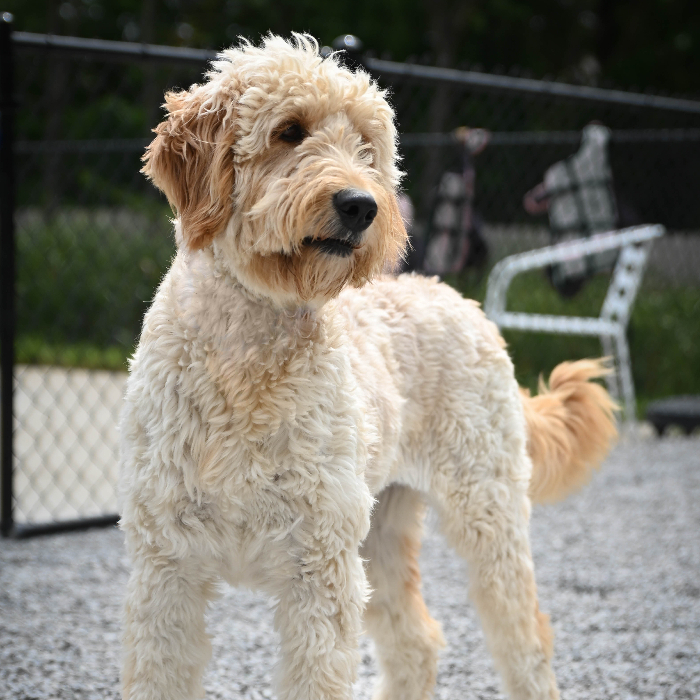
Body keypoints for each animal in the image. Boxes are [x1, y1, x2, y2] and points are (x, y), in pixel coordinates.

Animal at [121, 34, 616, 700]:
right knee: (416, 640)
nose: (360, 205)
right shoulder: (165, 569)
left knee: (526, 637)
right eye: (290, 131)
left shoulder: (319, 567)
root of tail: (458, 299)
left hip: (487, 513)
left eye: (365, 146)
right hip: (380, 528)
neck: (246, 361)